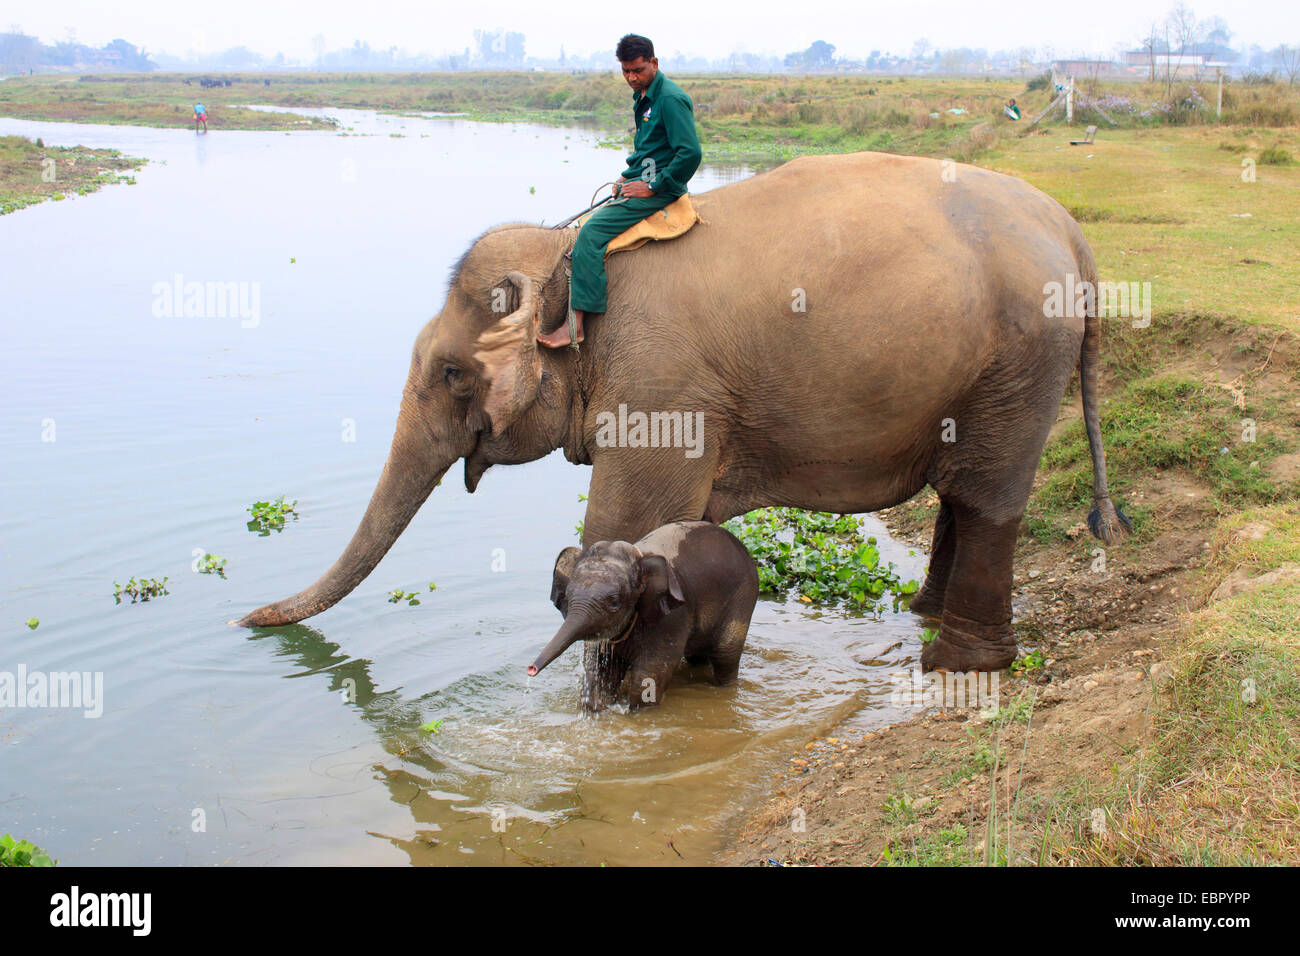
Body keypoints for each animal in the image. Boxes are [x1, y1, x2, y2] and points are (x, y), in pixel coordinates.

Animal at [233, 153, 1128, 686]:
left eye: (451, 374)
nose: (244, 620)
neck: (567, 249)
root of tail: (1070, 232)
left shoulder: (661, 386)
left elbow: (625, 520)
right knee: (960, 493)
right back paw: (925, 621)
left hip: (1019, 361)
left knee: (984, 496)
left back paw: (957, 665)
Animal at [530, 520, 759, 707]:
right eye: (568, 596)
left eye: (614, 602)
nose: (531, 669)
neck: (640, 558)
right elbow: (601, 668)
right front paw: (597, 706)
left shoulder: (673, 616)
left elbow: (651, 672)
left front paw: (635, 711)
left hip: (743, 596)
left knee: (725, 653)